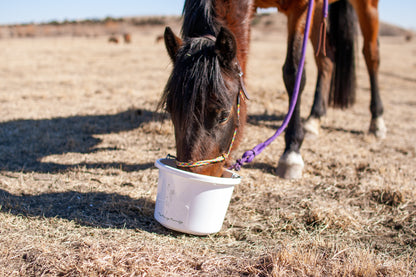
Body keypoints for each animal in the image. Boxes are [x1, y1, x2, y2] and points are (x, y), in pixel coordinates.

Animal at [158, 0, 386, 178]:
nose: (193, 176)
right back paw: (314, 119)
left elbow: (294, 72)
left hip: (366, 6)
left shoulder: (302, 8)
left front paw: (292, 152)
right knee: (327, 59)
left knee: (371, 55)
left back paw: (377, 120)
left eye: (223, 115)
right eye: (170, 110)